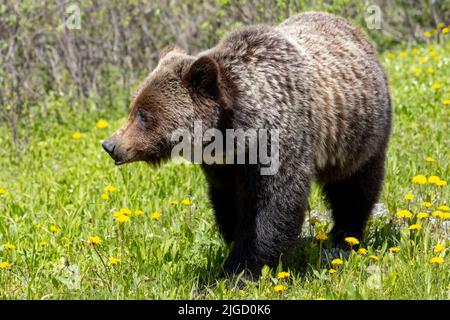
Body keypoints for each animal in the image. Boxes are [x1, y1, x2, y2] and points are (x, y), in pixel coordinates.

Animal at [102, 11, 390, 278]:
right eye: (133, 107)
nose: (110, 145)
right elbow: (229, 204)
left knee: (354, 187)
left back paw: (345, 236)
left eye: (144, 114)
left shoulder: (279, 144)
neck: (235, 136)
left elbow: (271, 209)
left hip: (359, 135)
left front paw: (237, 272)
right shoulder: (222, 167)